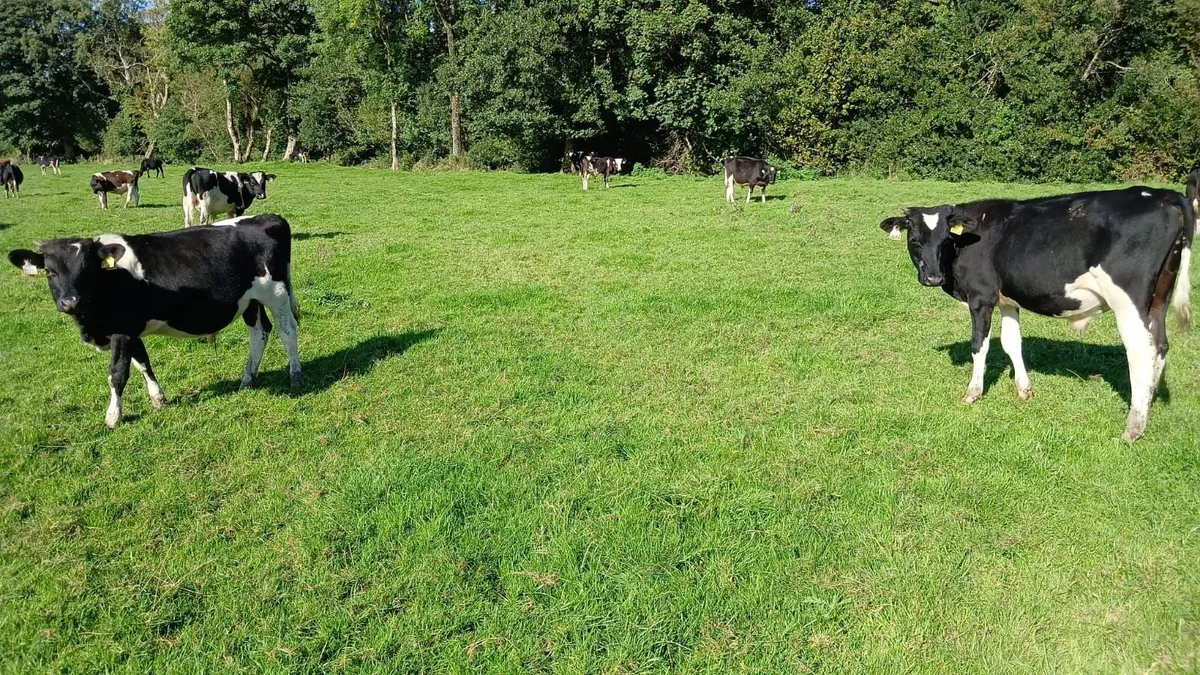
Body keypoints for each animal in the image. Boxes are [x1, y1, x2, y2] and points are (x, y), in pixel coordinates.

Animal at [6, 214, 302, 428]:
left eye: (88, 268)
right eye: (50, 272)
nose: (70, 302)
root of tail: (268, 217)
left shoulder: (122, 331)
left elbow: (117, 374)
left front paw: (113, 417)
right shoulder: (132, 330)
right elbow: (143, 363)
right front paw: (158, 399)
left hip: (276, 293)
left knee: (287, 331)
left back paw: (295, 376)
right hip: (250, 300)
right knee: (259, 333)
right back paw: (247, 380)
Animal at [879, 187, 1194, 441]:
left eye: (946, 239)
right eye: (915, 239)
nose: (932, 277)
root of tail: (1165, 194)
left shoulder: (981, 297)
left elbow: (980, 345)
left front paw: (973, 393)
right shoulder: (1007, 300)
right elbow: (1012, 343)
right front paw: (1024, 389)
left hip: (1128, 299)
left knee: (1140, 350)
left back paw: (1134, 427)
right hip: (1159, 297)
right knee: (1160, 345)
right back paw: (1149, 400)